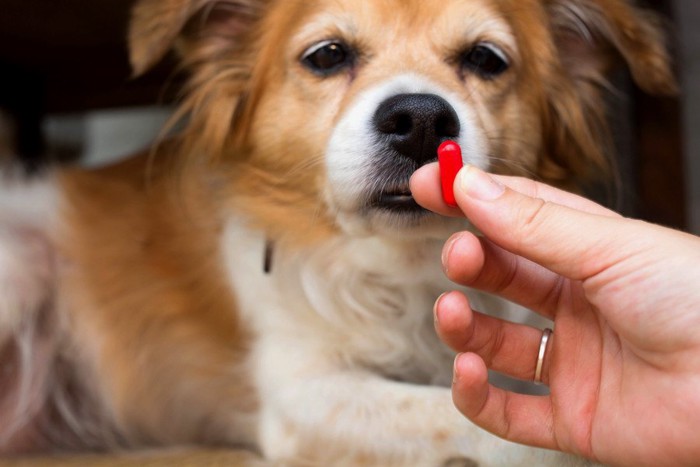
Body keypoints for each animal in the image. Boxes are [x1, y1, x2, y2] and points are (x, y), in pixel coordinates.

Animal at [0, 0, 676, 466]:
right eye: (327, 55)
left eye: (486, 59)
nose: (420, 118)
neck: (404, 264)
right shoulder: (302, 392)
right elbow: (465, 418)